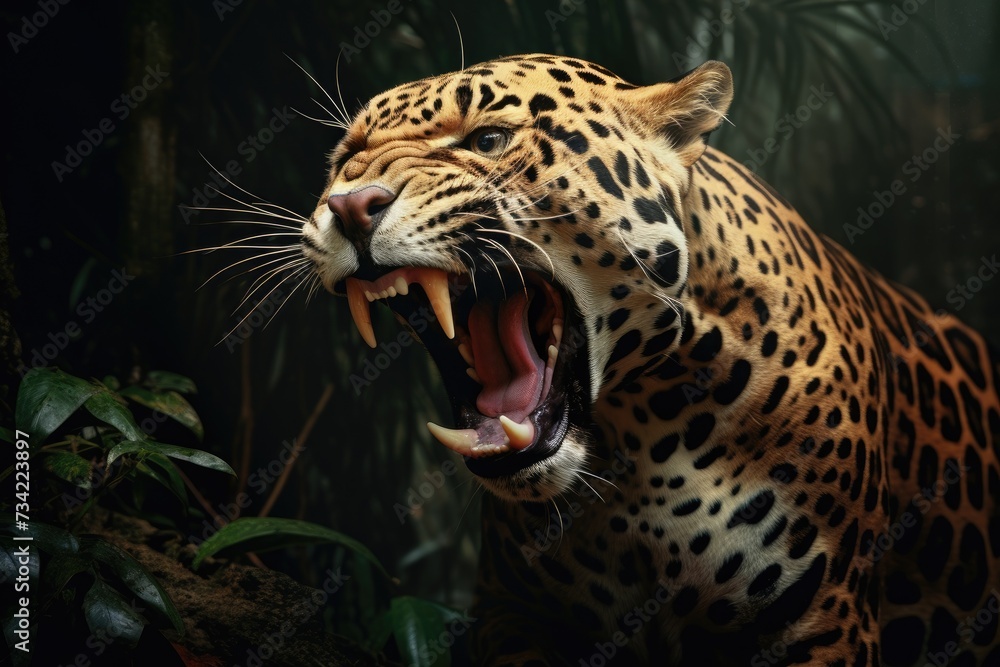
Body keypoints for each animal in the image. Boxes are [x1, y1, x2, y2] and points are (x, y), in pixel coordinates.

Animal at [298, 53, 1000, 666]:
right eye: (343, 161)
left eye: (490, 140)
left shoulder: (825, 617)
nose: (351, 206)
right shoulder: (510, 607)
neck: (637, 439)